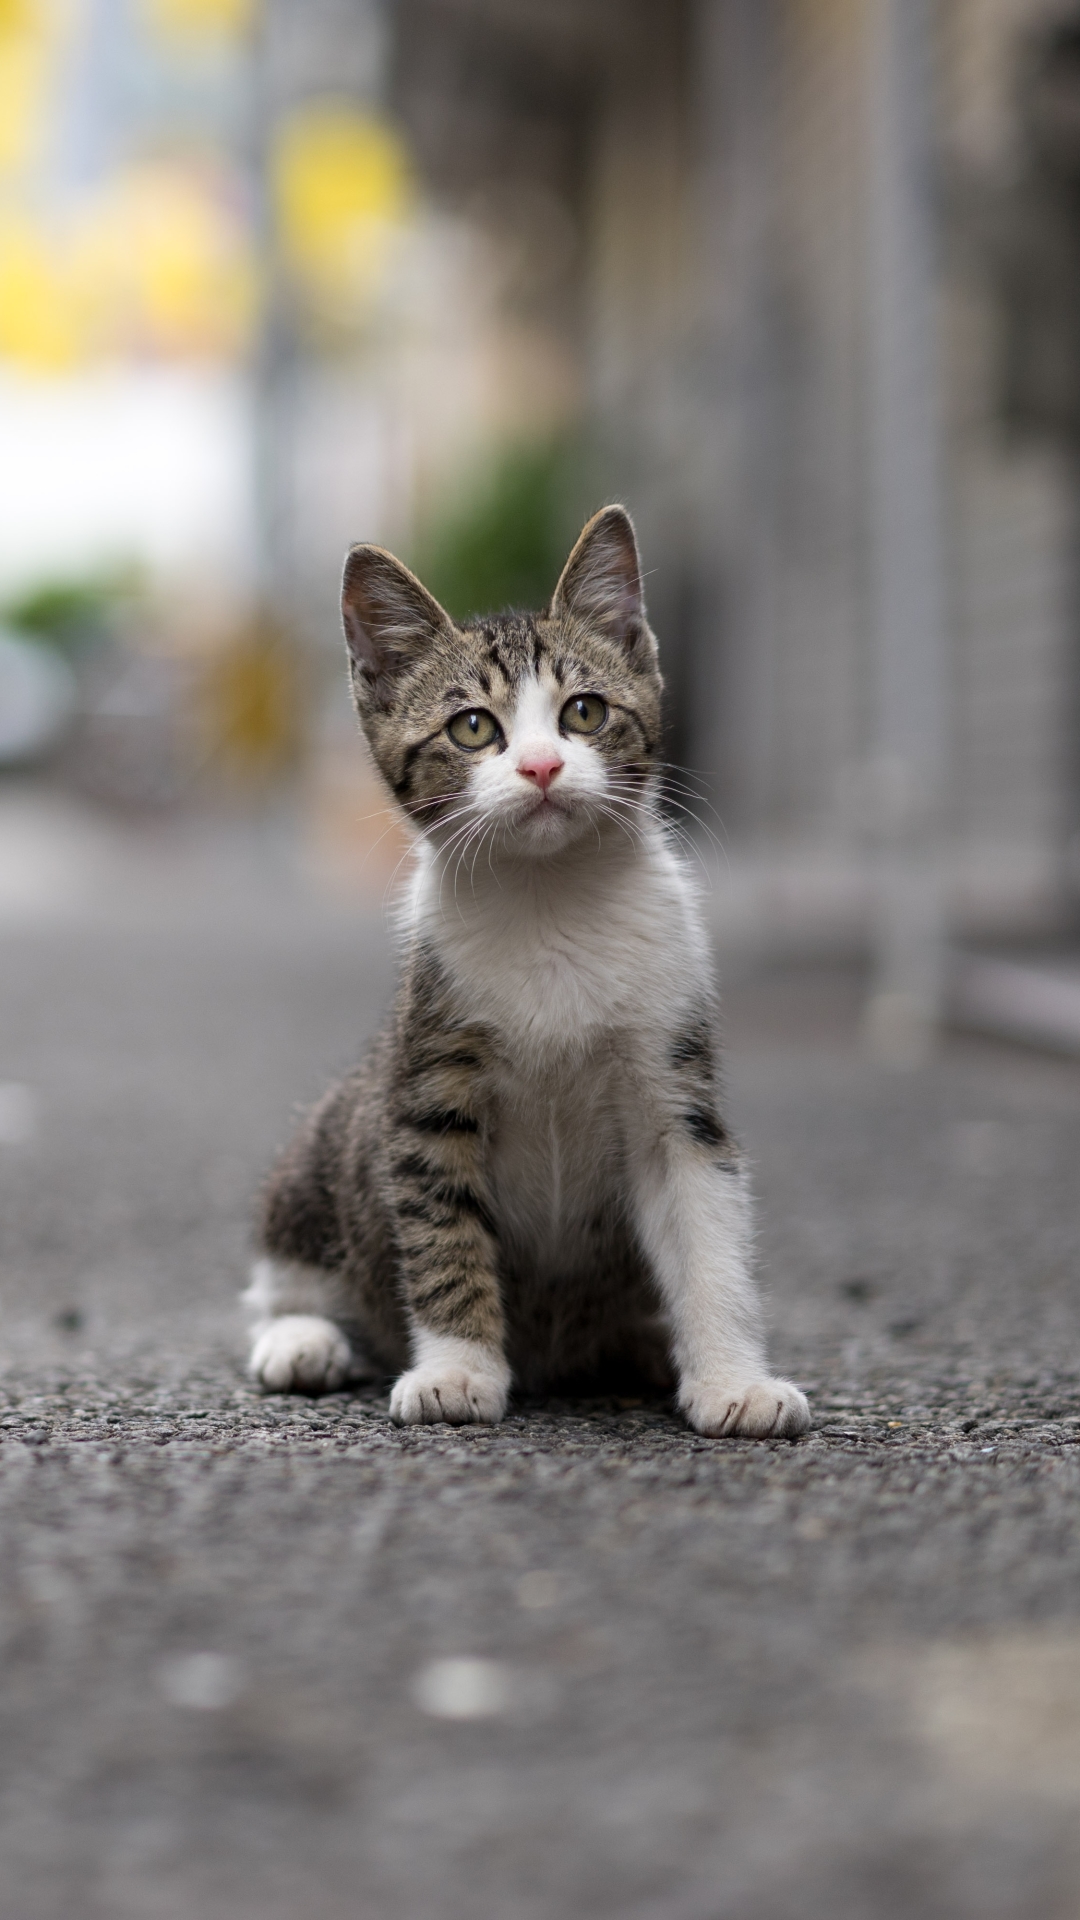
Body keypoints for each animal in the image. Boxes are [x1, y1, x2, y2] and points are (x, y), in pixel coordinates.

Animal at [244, 510, 807, 1443]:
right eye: (473, 728)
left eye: (584, 711)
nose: (542, 768)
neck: (551, 901)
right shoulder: (426, 1086)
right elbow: (441, 1234)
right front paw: (458, 1371)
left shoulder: (675, 1085)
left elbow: (709, 1234)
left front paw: (734, 1378)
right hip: (329, 1140)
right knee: (284, 1271)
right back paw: (303, 1337)